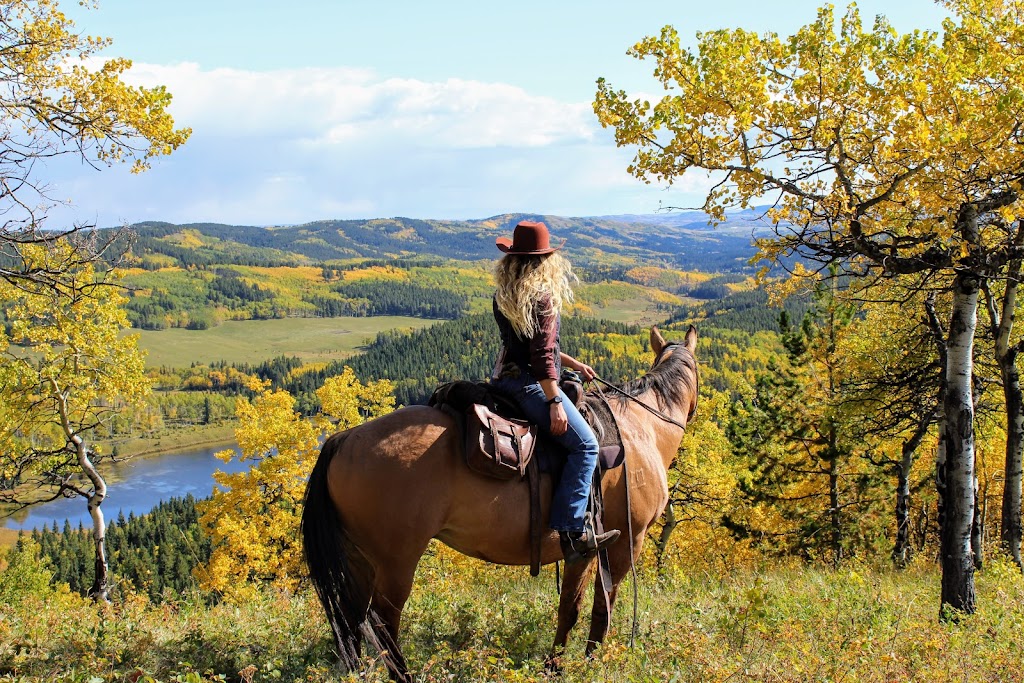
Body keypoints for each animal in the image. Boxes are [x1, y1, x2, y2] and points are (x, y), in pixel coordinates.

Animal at [299, 325, 700, 679]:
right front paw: (589, 662)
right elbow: (600, 607)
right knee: (383, 624)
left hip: (359, 558)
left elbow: (571, 607)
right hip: (396, 561)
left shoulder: (587, 547)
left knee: (352, 620)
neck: (642, 429)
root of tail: (343, 439)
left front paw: (557, 666)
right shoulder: (624, 542)